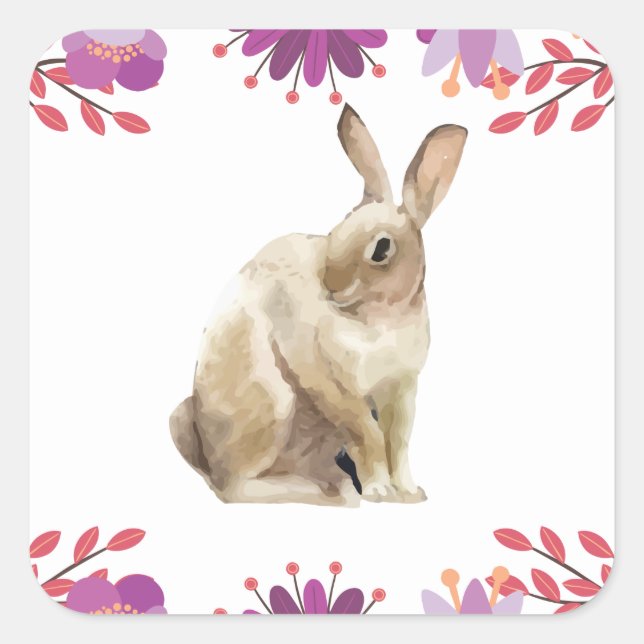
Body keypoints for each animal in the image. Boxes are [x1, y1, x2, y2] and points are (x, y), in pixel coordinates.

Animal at [170, 104, 467, 506]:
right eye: (338, 228)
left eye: (381, 249)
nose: (330, 286)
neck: (382, 317)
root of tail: (204, 452)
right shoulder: (330, 382)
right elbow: (367, 435)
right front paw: (379, 492)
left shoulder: (401, 387)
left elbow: (398, 441)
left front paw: (409, 493)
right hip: (274, 402)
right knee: (234, 487)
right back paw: (324, 494)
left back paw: (335, 484)